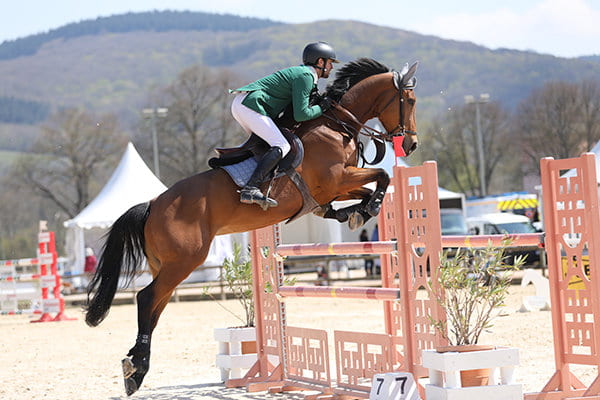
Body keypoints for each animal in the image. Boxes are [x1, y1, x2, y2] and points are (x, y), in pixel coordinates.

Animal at [85, 57, 419, 396]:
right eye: (410, 100)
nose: (412, 144)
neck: (336, 126)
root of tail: (153, 204)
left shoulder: (336, 188)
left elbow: (363, 191)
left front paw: (356, 213)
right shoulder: (338, 179)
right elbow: (381, 175)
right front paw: (371, 207)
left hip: (166, 266)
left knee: (155, 307)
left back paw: (134, 367)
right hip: (184, 261)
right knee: (146, 299)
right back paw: (137, 368)